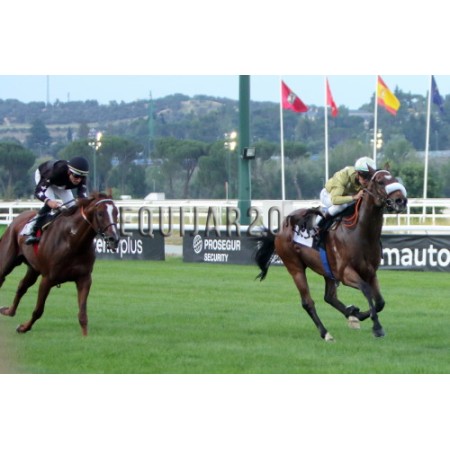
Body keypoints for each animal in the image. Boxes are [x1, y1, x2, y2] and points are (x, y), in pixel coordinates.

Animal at [0, 192, 120, 336]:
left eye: (116, 212)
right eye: (100, 213)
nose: (114, 239)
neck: (72, 242)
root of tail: (18, 218)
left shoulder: (84, 278)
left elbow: (82, 315)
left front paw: (85, 337)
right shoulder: (47, 279)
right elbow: (38, 311)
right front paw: (24, 327)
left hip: (33, 268)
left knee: (22, 286)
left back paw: (9, 311)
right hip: (7, 260)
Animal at [254, 168, 408, 341]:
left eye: (394, 179)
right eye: (381, 182)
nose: (401, 201)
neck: (360, 233)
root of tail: (280, 228)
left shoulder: (370, 272)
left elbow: (380, 302)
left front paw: (357, 314)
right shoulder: (345, 273)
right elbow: (366, 290)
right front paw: (377, 327)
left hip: (326, 269)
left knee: (329, 297)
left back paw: (351, 314)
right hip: (295, 267)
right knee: (307, 302)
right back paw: (325, 333)